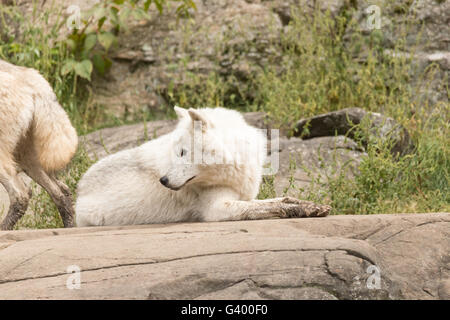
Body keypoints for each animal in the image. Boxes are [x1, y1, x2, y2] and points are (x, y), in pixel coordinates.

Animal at [75, 106, 330, 226]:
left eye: (182, 152)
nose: (163, 180)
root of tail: (79, 191)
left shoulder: (244, 195)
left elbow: (280, 200)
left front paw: (312, 206)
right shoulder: (216, 208)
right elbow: (267, 208)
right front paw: (299, 210)